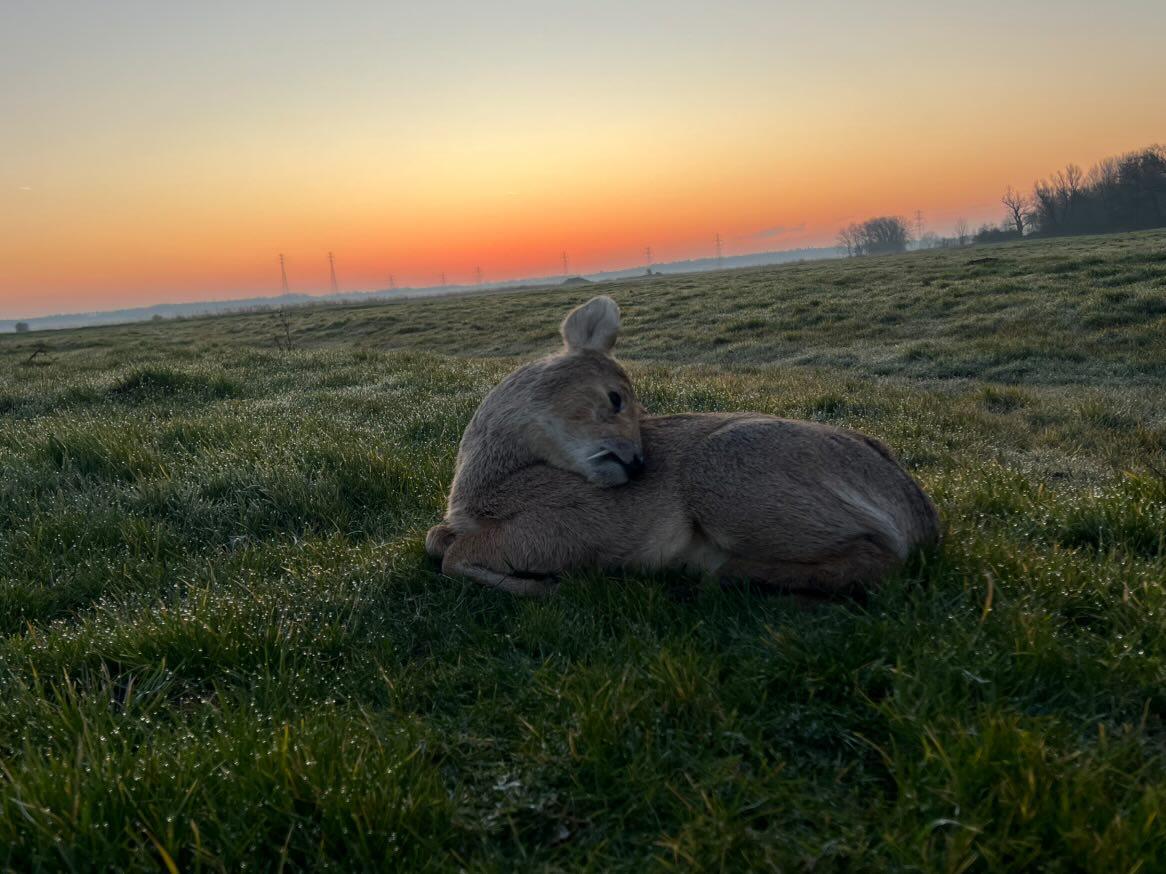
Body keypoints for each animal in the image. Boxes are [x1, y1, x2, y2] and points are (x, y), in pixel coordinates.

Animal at [426, 296, 939, 597]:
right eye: (616, 398)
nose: (636, 463)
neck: (485, 487)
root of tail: (921, 516)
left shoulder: (565, 528)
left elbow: (454, 556)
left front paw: (545, 585)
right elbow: (437, 541)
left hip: (724, 477)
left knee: (880, 558)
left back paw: (719, 572)